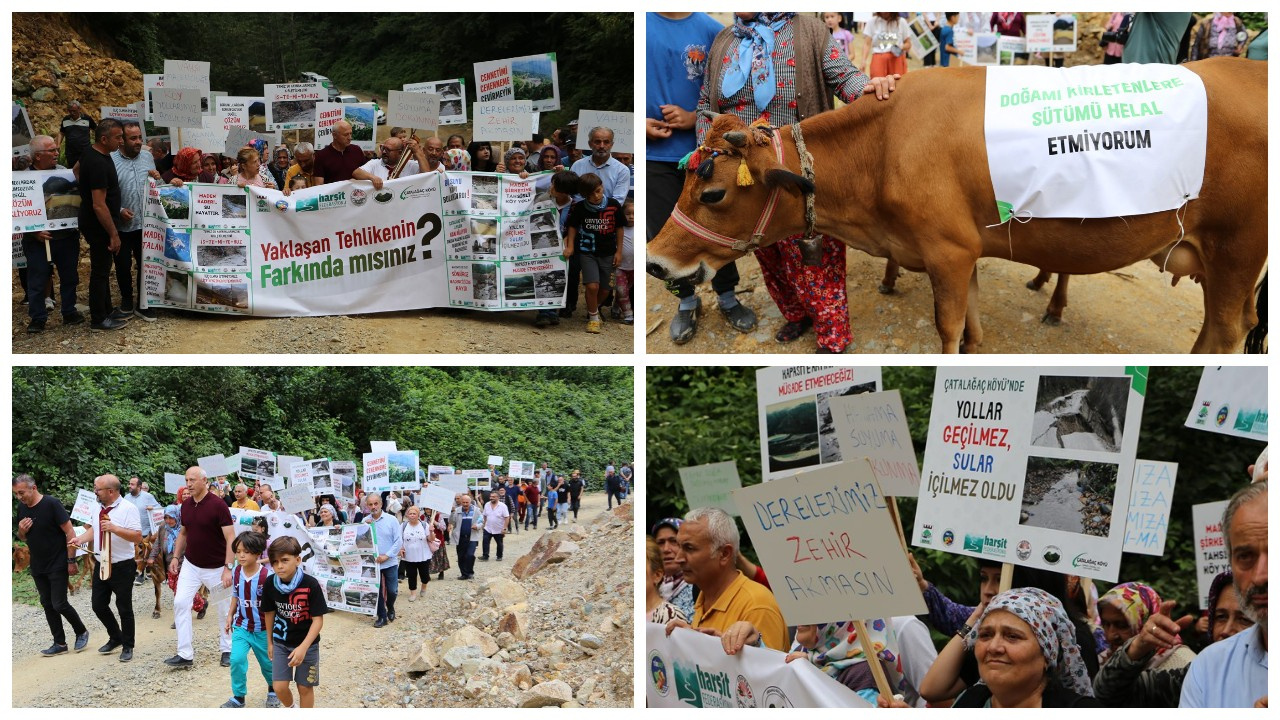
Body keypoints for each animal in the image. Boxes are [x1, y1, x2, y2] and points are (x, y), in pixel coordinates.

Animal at [650, 57, 1269, 351]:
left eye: (713, 192)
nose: (655, 261)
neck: (884, 146)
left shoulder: (946, 251)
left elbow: (947, 328)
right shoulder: (964, 250)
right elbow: (971, 322)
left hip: (1236, 253)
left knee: (1225, 332)